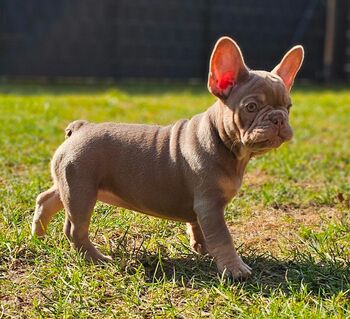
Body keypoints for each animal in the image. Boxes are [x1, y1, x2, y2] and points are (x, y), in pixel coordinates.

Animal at [31, 37, 302, 280]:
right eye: (251, 107)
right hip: (82, 191)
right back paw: (97, 259)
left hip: (69, 184)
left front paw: (202, 249)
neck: (224, 142)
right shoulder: (210, 206)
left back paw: (39, 234)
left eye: (288, 107)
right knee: (75, 229)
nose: (278, 118)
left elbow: (199, 228)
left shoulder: (201, 208)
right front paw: (235, 269)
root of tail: (80, 128)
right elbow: (223, 238)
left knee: (47, 198)